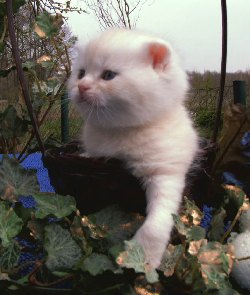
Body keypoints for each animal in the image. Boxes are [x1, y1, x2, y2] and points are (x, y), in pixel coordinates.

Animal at [67, 29, 198, 268]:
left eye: (108, 75)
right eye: (81, 73)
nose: (81, 86)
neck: (119, 131)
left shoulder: (166, 172)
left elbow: (158, 220)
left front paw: (144, 255)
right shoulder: (95, 154)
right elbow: (87, 155)